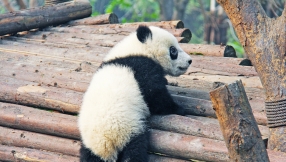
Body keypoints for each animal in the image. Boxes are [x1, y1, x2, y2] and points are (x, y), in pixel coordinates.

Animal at [77, 26, 192, 161]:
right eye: (173, 50)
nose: (189, 61)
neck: (137, 49)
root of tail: (106, 142)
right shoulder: (142, 68)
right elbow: (156, 97)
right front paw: (179, 109)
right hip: (129, 128)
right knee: (134, 150)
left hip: (90, 145)